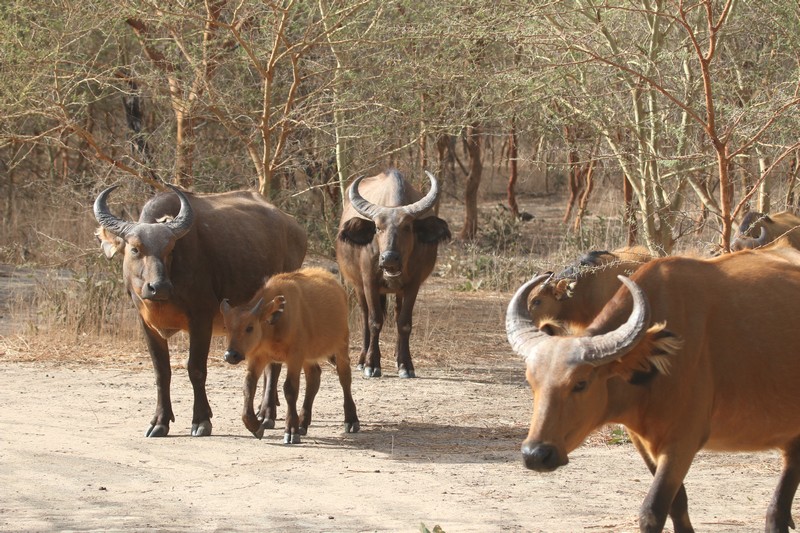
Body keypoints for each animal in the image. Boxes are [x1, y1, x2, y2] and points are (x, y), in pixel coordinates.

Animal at [94, 185, 306, 434]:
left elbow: (195, 368)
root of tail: (294, 227)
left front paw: (201, 420)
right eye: (135, 249)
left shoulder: (201, 319)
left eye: (170, 249)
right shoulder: (146, 323)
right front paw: (160, 421)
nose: (159, 287)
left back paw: (266, 413)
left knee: (274, 364)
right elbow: (161, 371)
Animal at [219, 268, 356, 442]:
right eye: (227, 327)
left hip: (341, 346)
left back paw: (351, 420)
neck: (275, 325)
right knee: (314, 378)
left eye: (250, 327)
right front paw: (255, 425)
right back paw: (303, 423)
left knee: (345, 377)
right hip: (309, 357)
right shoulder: (258, 357)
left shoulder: (295, 357)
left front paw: (291, 430)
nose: (231, 355)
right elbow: (248, 386)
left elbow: (290, 389)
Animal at [336, 169, 450, 378]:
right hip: (357, 286)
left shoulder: (413, 284)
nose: (389, 258)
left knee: (397, 314)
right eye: (377, 228)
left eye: (407, 227)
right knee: (365, 316)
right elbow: (374, 321)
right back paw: (362, 359)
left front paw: (405, 364)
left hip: (398, 291)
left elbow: (404, 323)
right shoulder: (369, 282)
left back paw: (398, 353)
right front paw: (371, 364)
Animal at [506, 242, 800, 532]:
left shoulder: (682, 442)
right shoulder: (642, 441)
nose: (536, 454)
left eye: (581, 383)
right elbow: (677, 506)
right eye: (532, 382)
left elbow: (652, 510)